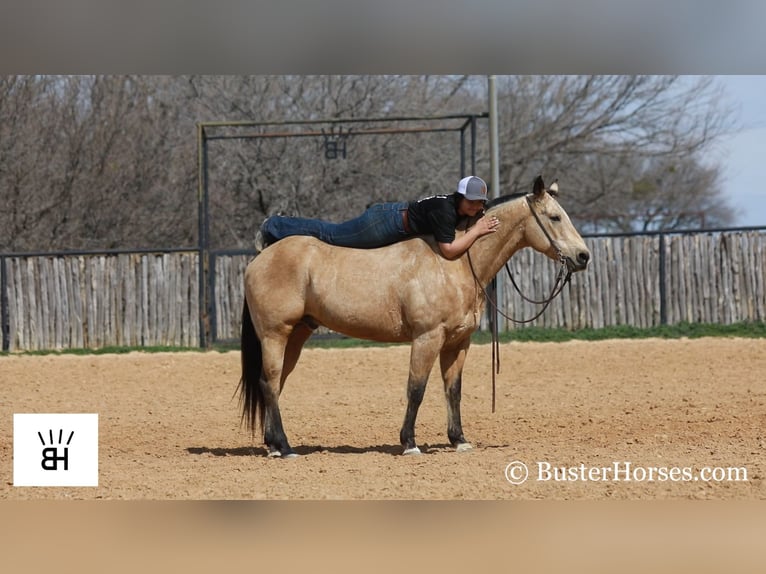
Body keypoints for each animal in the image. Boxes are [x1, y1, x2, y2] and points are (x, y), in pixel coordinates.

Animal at [237, 176, 592, 460]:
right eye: (555, 217)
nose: (583, 256)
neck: (457, 263)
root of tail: (260, 258)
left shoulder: (457, 343)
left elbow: (453, 390)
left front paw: (459, 440)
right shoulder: (427, 338)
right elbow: (416, 389)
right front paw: (409, 443)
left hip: (296, 335)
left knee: (274, 384)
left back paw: (273, 444)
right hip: (275, 334)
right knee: (269, 383)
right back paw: (285, 448)